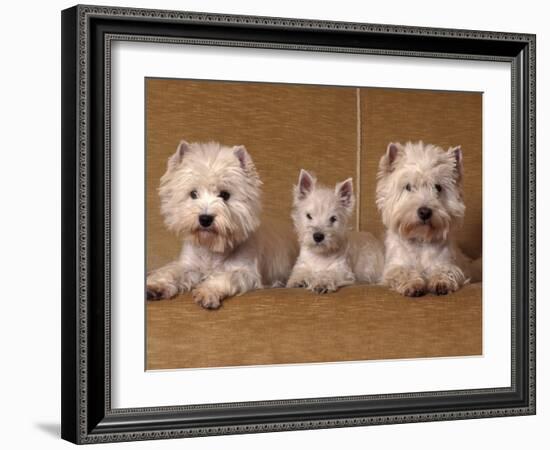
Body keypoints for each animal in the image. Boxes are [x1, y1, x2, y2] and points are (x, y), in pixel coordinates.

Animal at [147, 141, 300, 310]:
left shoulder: (246, 272)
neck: (212, 248)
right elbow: (172, 271)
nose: (205, 218)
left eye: (225, 195)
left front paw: (207, 292)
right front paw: (156, 286)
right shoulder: (189, 265)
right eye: (193, 194)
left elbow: (226, 276)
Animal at [378, 140, 480, 296]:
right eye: (408, 187)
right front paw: (413, 285)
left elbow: (445, 270)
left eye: (438, 187)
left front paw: (440, 282)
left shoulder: (449, 263)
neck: (420, 239)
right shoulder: (394, 266)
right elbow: (402, 271)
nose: (425, 212)